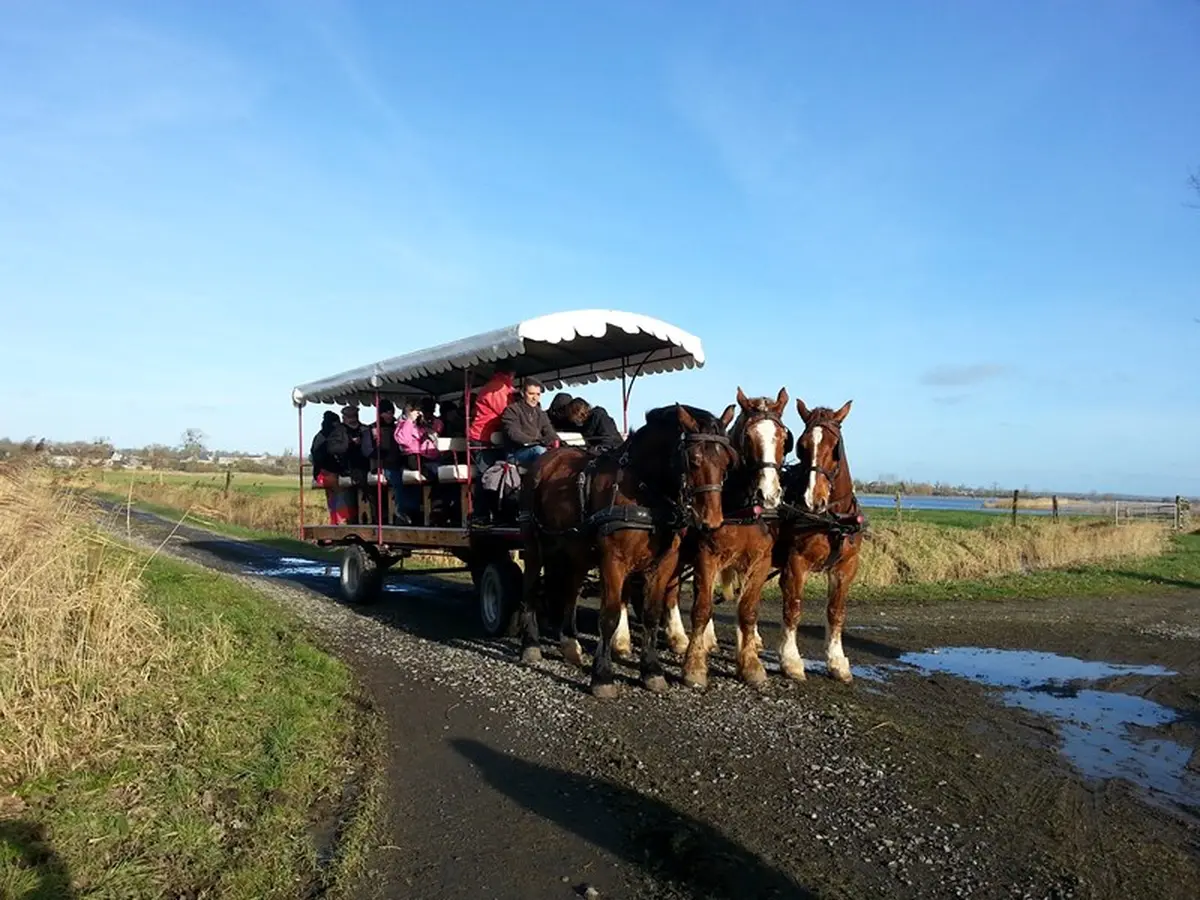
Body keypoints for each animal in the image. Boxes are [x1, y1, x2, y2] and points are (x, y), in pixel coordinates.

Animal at [518, 403, 738, 698]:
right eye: (694, 459)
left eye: (726, 462)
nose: (711, 521)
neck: (644, 489)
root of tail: (546, 459)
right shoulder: (614, 560)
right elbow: (609, 615)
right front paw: (602, 676)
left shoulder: (665, 562)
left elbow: (652, 615)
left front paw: (652, 671)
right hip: (533, 543)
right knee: (530, 586)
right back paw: (530, 645)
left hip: (576, 551)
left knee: (570, 592)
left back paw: (570, 644)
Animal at [662, 387, 793, 690]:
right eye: (748, 437)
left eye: (784, 438)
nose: (768, 495)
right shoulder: (706, 555)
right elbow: (701, 607)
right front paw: (694, 666)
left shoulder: (760, 560)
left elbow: (747, 610)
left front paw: (750, 663)